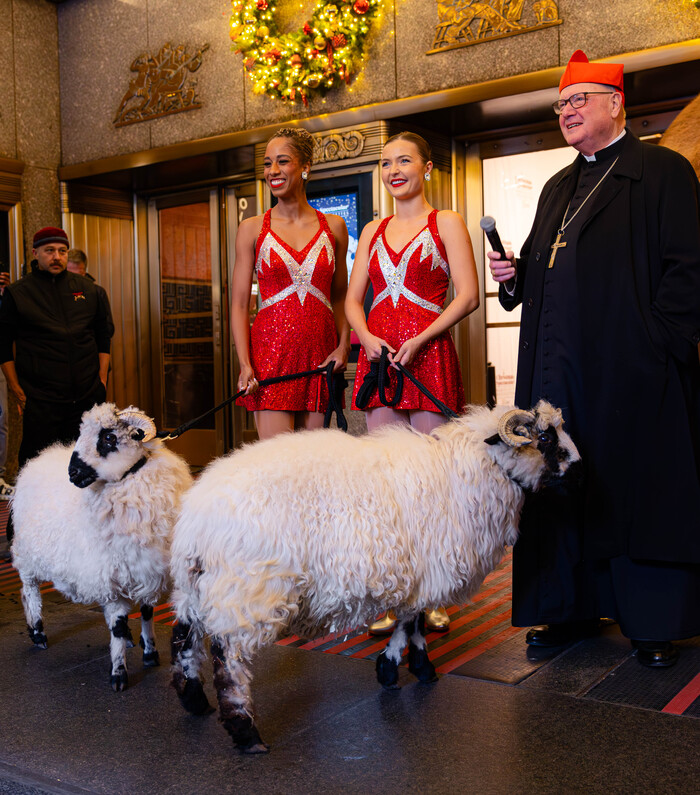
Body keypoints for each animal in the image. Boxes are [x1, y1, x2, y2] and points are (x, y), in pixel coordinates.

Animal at [11, 404, 191, 692]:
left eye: (108, 438)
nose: (72, 474)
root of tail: (37, 460)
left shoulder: (147, 569)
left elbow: (147, 612)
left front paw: (150, 653)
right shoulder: (109, 574)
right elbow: (116, 624)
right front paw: (118, 673)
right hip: (28, 556)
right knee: (30, 592)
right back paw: (38, 633)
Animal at [170, 402, 580, 756]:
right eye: (544, 438)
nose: (577, 465)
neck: (469, 470)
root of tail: (197, 518)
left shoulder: (419, 576)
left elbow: (411, 621)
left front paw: (399, 669)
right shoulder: (427, 573)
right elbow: (411, 623)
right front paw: (411, 669)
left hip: (197, 587)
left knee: (183, 637)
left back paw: (194, 701)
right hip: (249, 586)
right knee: (228, 656)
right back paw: (246, 733)